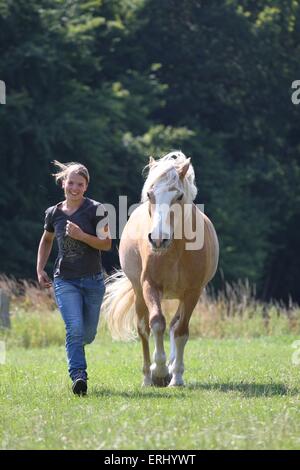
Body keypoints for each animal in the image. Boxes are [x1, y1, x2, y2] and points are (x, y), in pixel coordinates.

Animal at [102, 152, 218, 388]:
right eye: (150, 194)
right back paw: (148, 376)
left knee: (174, 325)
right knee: (143, 329)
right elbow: (156, 324)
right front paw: (160, 372)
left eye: (179, 196)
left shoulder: (193, 292)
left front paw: (176, 376)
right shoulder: (150, 286)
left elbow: (181, 331)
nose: (157, 239)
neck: (176, 250)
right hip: (139, 293)